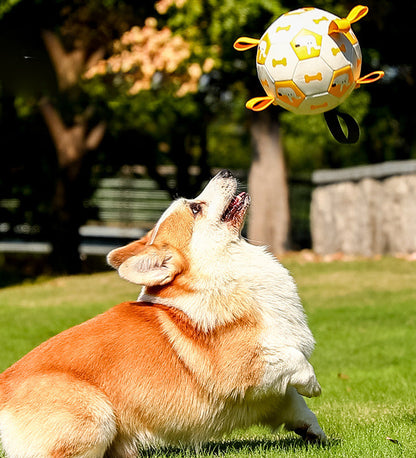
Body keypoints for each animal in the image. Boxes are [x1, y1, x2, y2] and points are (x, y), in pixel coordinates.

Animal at [0, 170, 324, 456]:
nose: (225, 171)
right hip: (96, 414)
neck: (224, 273)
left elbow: (294, 402)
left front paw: (313, 431)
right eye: (196, 207)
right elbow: (296, 362)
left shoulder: (271, 391)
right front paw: (314, 385)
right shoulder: (245, 368)